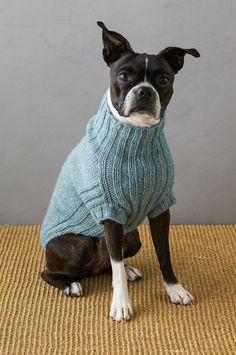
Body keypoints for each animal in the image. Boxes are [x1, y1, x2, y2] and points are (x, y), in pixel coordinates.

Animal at [39, 21, 200, 322]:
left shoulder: (161, 208)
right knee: (53, 271)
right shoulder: (110, 212)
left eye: (163, 80)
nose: (145, 91)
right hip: (79, 246)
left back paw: (128, 269)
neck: (136, 137)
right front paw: (121, 305)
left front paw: (175, 290)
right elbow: (117, 274)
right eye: (124, 76)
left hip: (131, 235)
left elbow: (164, 255)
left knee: (110, 263)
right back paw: (70, 284)